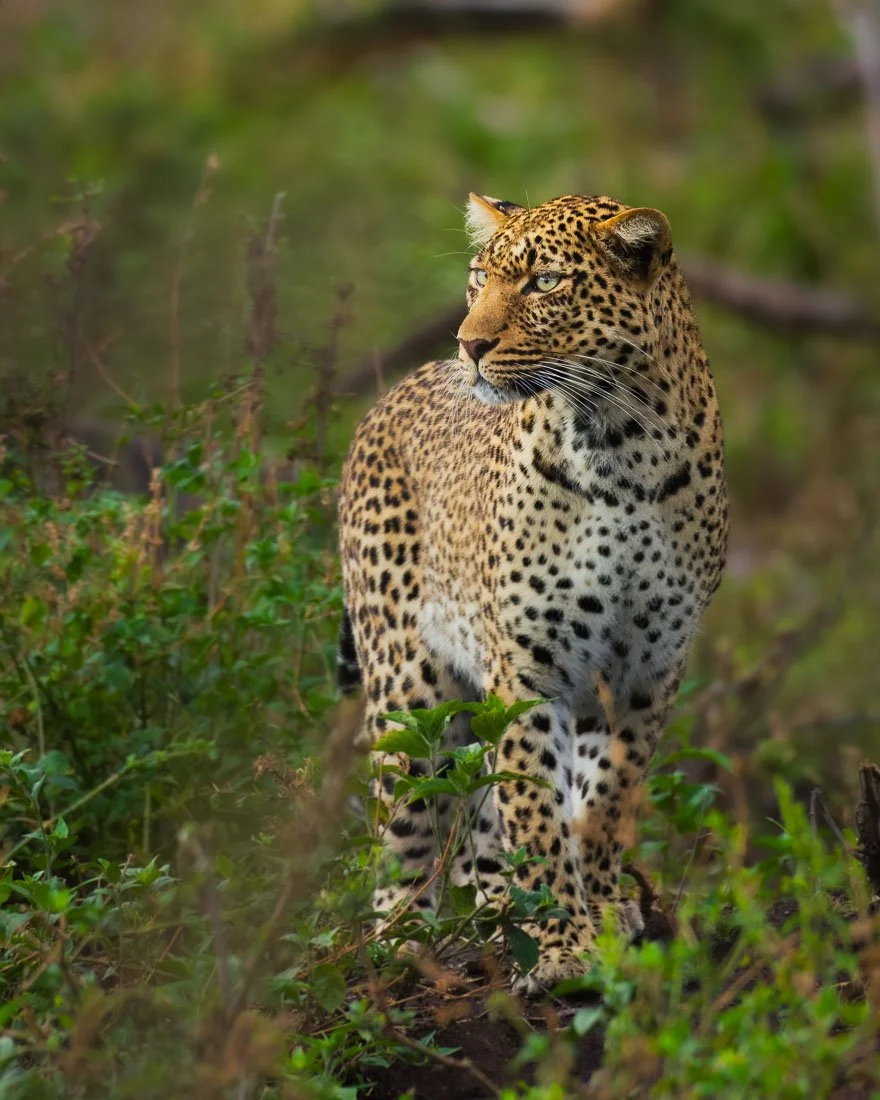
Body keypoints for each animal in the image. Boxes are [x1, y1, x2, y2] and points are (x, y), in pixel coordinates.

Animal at [337, 192, 728, 995]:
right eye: (479, 276)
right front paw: (562, 949)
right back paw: (403, 944)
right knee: (406, 824)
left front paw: (602, 912)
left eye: (544, 283)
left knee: (483, 828)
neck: (620, 443)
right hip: (407, 686)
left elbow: (604, 798)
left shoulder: (647, 668)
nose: (469, 345)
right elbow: (535, 808)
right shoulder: (526, 664)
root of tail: (391, 393)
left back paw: (496, 912)